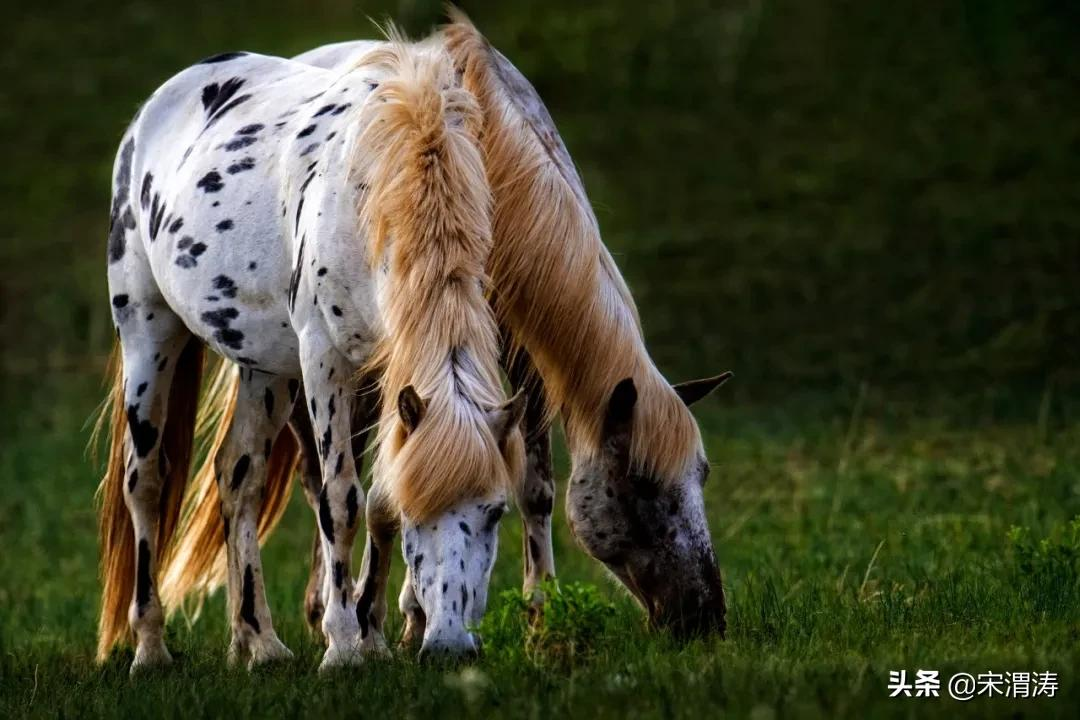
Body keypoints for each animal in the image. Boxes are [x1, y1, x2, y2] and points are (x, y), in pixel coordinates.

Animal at [96, 31, 527, 673]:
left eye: (496, 511)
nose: (450, 647)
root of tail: (153, 110)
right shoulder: (326, 359)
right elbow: (341, 500)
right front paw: (344, 647)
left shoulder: (386, 371)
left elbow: (378, 500)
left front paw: (370, 636)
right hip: (148, 331)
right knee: (144, 482)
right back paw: (150, 649)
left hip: (266, 367)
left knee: (237, 477)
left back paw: (259, 643)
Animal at [196, 14, 734, 651]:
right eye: (643, 485)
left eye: (701, 475)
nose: (705, 616)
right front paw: (379, 620)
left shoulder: (523, 357)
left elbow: (531, 486)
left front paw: (538, 619)